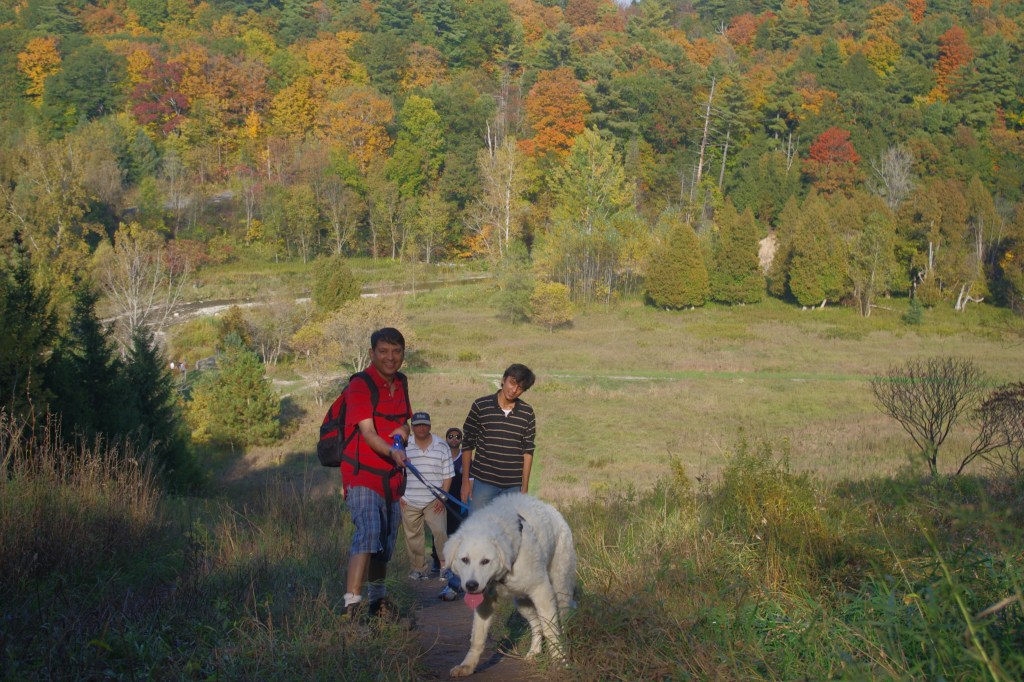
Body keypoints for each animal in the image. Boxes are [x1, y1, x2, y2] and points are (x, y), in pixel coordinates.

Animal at [444, 493, 576, 678]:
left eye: (486, 561)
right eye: (465, 560)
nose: (471, 586)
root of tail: (553, 510)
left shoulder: (542, 591)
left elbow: (552, 631)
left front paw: (559, 661)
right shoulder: (485, 603)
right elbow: (477, 638)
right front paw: (468, 666)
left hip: (560, 591)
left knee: (559, 623)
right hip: (522, 603)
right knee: (537, 626)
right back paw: (533, 653)